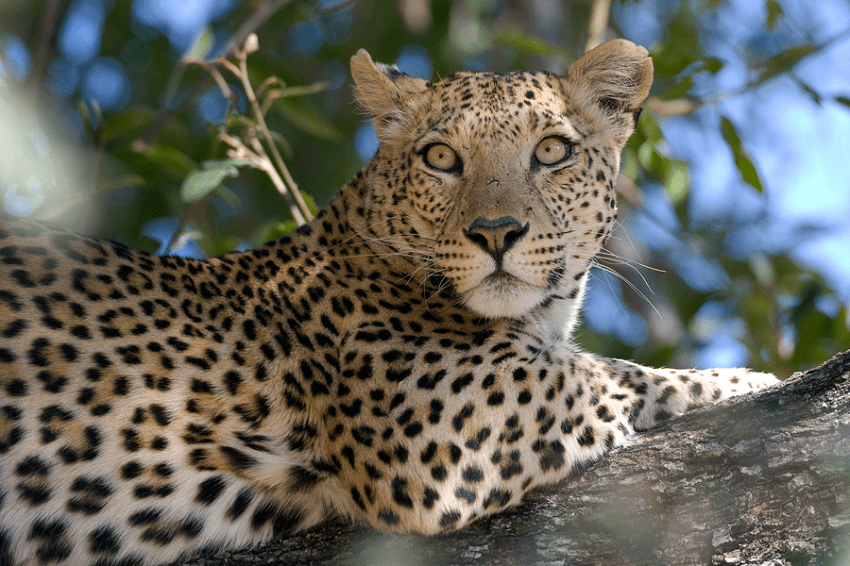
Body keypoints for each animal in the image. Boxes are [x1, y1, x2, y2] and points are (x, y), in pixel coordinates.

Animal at [0, 39, 779, 566]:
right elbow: (618, 376)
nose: (497, 232)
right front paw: (749, 384)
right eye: (441, 158)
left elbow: (618, 369)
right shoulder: (443, 415)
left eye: (552, 151)